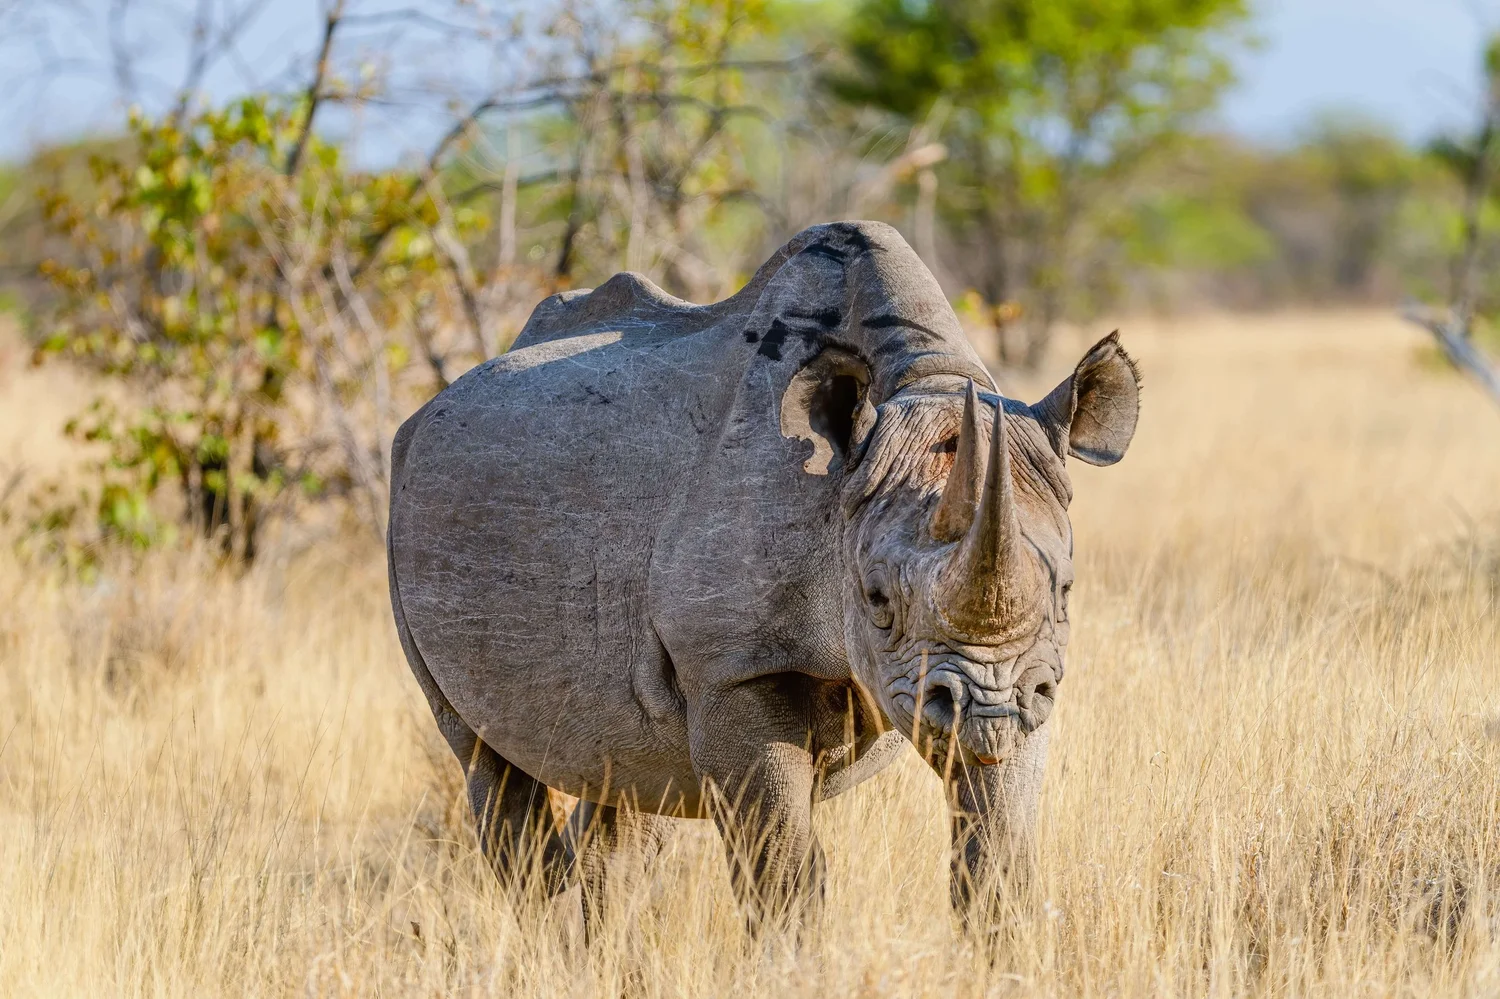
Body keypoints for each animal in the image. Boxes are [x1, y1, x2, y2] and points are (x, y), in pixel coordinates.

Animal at [387, 221, 1139, 930]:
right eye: (876, 601)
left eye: (1065, 591)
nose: (984, 711)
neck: (926, 382)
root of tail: (433, 403)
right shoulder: (733, 666)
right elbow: (783, 873)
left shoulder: (1030, 675)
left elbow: (999, 856)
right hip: (406, 494)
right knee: (485, 761)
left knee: (624, 781)